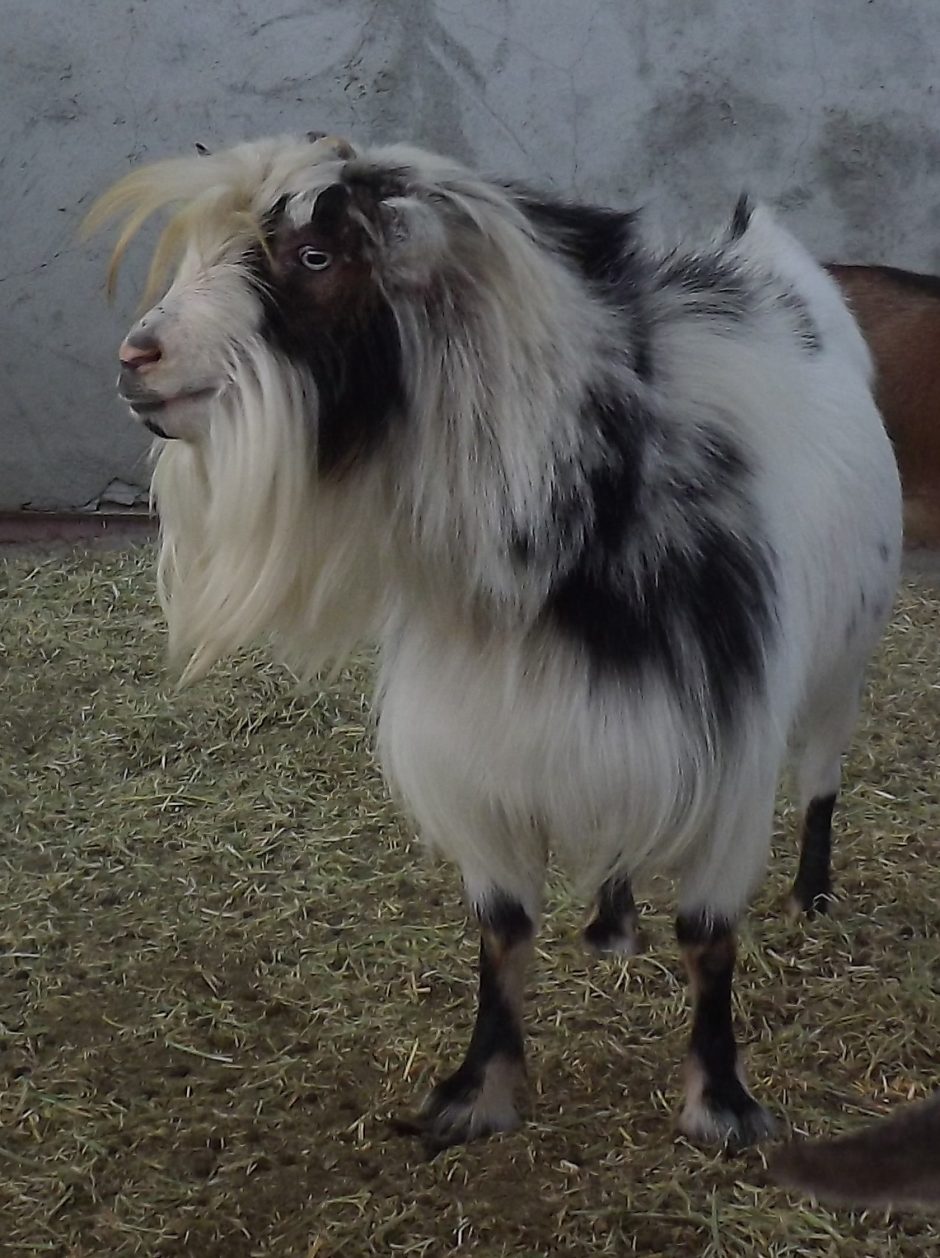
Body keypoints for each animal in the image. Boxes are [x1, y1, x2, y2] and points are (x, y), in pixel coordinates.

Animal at [86, 133, 902, 1151]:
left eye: (315, 256)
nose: (137, 356)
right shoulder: (491, 749)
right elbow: (502, 933)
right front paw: (476, 1094)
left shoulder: (726, 752)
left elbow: (709, 940)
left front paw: (721, 1106)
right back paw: (610, 926)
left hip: (842, 663)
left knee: (823, 777)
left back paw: (812, 897)